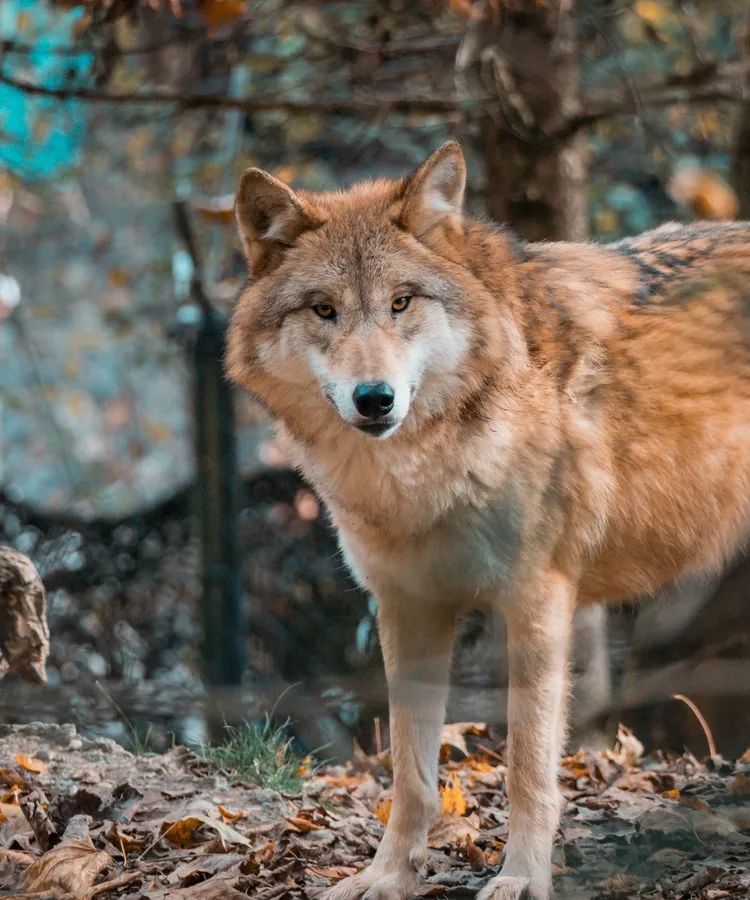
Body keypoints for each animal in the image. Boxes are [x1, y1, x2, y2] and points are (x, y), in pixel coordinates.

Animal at [226, 141, 750, 900]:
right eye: (324, 310)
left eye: (401, 302)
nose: (375, 399)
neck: (422, 473)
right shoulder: (407, 606)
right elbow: (409, 774)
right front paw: (387, 875)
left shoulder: (536, 601)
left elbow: (528, 768)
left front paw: (522, 877)